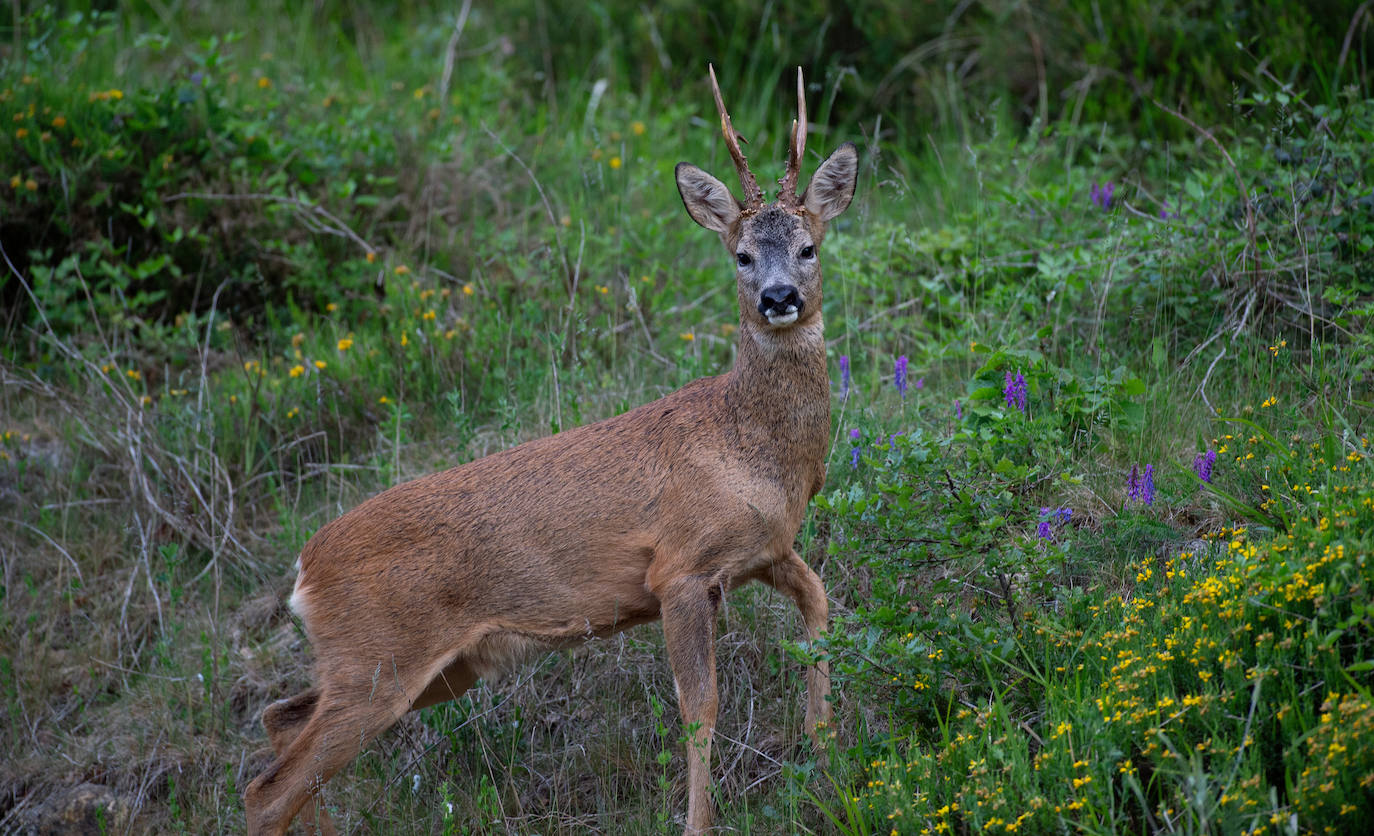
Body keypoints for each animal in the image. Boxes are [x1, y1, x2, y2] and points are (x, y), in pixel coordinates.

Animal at [241, 67, 851, 836]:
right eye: (741, 255)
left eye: (809, 247)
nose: (778, 297)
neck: (749, 447)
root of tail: (304, 570)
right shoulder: (679, 570)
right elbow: (699, 710)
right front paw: (700, 823)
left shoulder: (766, 551)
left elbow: (820, 609)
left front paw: (831, 771)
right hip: (377, 662)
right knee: (268, 788)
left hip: (430, 669)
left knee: (280, 722)